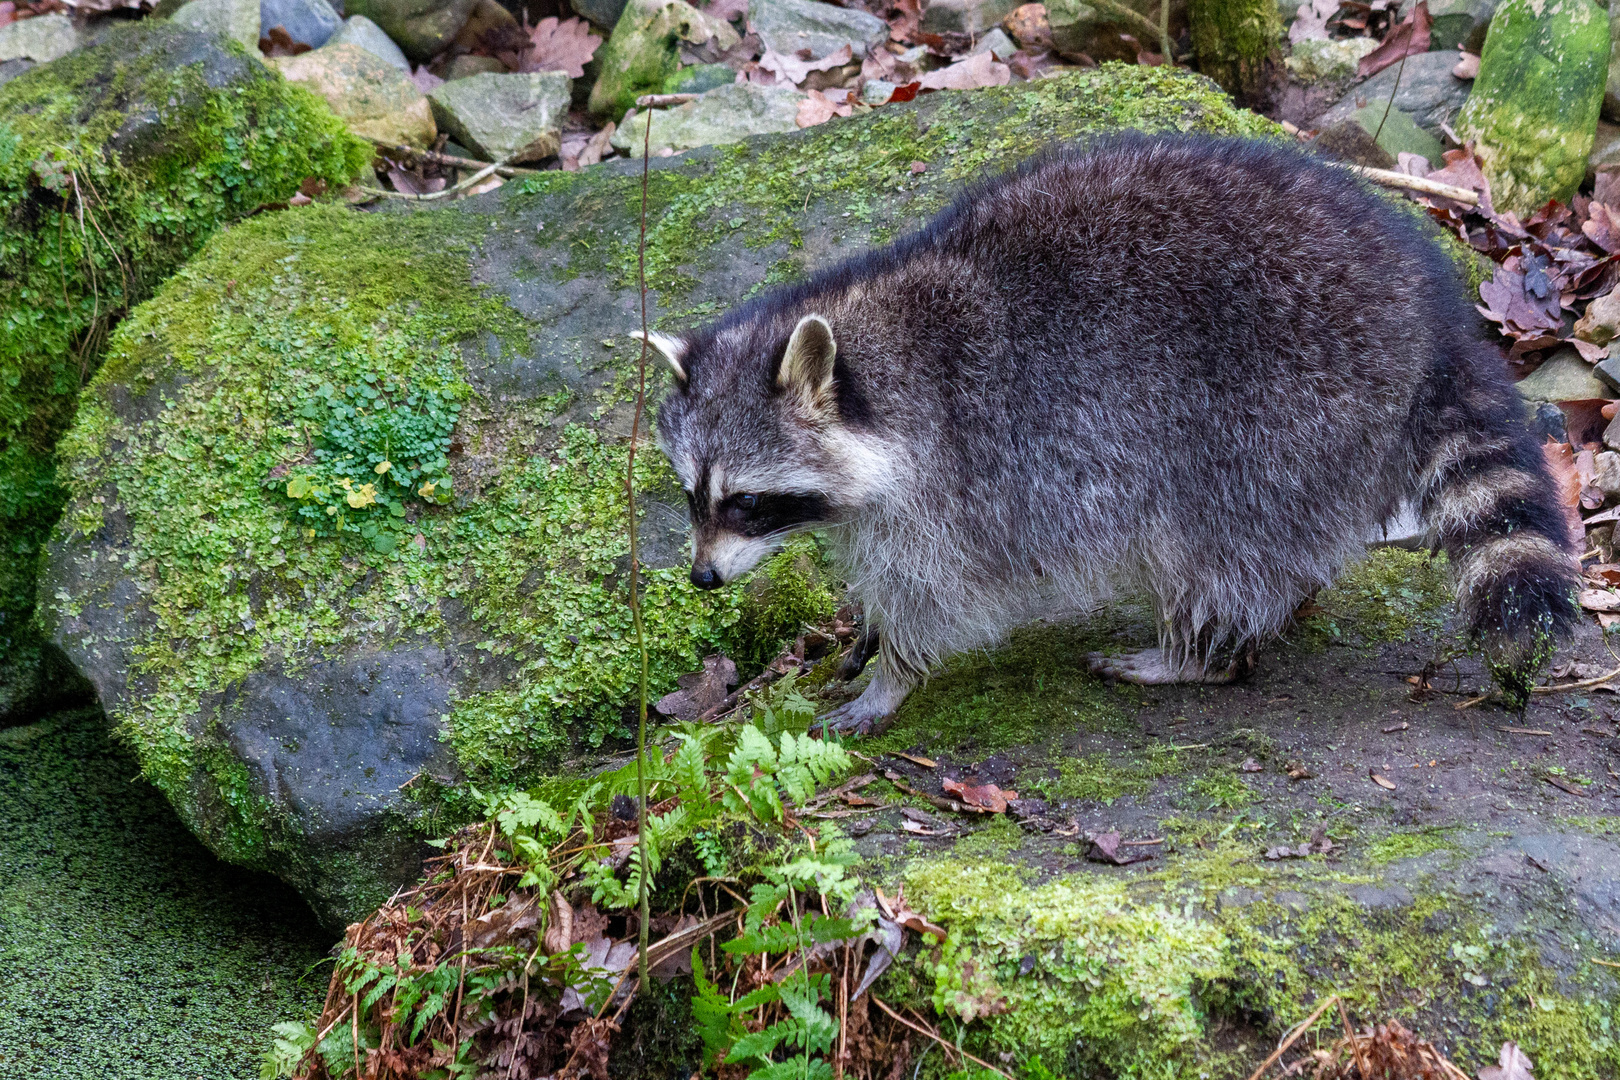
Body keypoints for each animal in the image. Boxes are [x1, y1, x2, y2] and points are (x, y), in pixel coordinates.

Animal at [648, 131, 1581, 731]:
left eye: (748, 503)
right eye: (692, 497)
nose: (700, 578)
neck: (873, 359)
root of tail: (1430, 313)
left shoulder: (958, 484)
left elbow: (939, 596)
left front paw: (893, 675)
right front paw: (865, 634)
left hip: (1285, 413)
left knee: (1220, 548)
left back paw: (1196, 651)